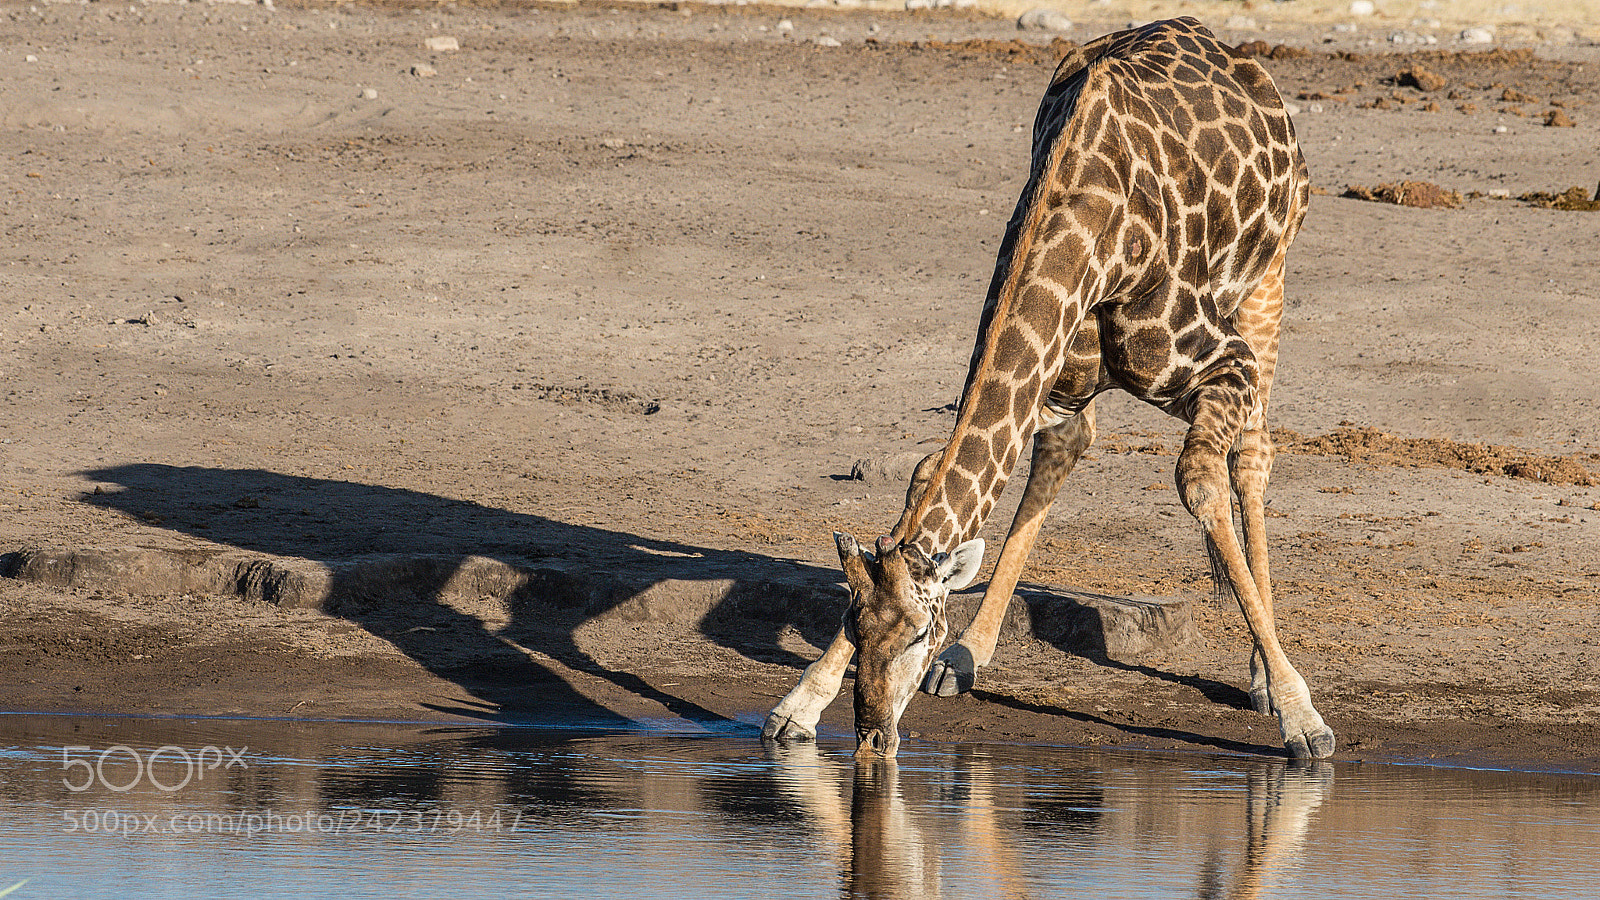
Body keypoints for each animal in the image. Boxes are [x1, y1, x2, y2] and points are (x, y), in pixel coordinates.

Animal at [763, 17, 1336, 760]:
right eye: (853, 629)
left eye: (919, 634)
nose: (872, 736)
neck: (1088, 231)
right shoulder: (1050, 376)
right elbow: (935, 470)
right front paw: (798, 706)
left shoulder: (1221, 364)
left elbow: (1201, 481)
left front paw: (1303, 717)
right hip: (1085, 373)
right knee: (1067, 448)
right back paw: (970, 655)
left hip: (1268, 277)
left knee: (1252, 454)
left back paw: (1265, 678)